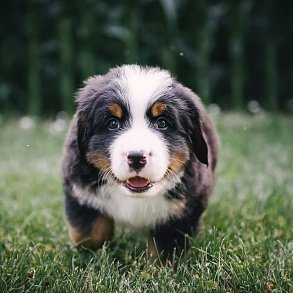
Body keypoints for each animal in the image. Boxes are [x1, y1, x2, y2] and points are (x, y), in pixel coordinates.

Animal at [61, 64, 217, 262]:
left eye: (162, 123)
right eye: (113, 123)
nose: (136, 157)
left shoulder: (183, 208)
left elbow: (166, 248)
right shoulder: (80, 191)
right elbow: (90, 232)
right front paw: (91, 258)